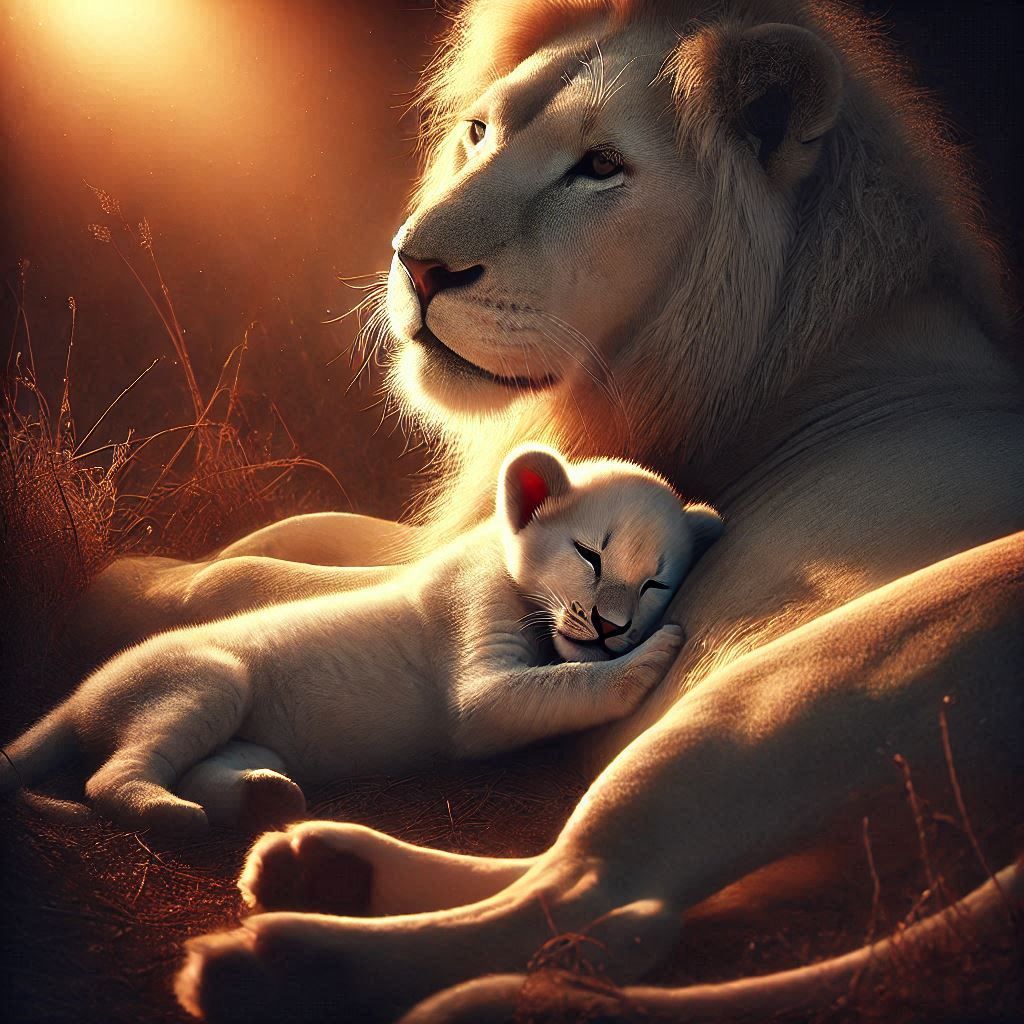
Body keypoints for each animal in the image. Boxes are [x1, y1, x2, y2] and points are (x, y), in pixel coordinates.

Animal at [54, 0, 1022, 1020]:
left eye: (600, 167)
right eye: (480, 132)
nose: (416, 266)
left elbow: (246, 574)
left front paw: (130, 582)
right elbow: (296, 532)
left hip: (803, 689)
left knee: (599, 905)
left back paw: (286, 958)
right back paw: (318, 865)